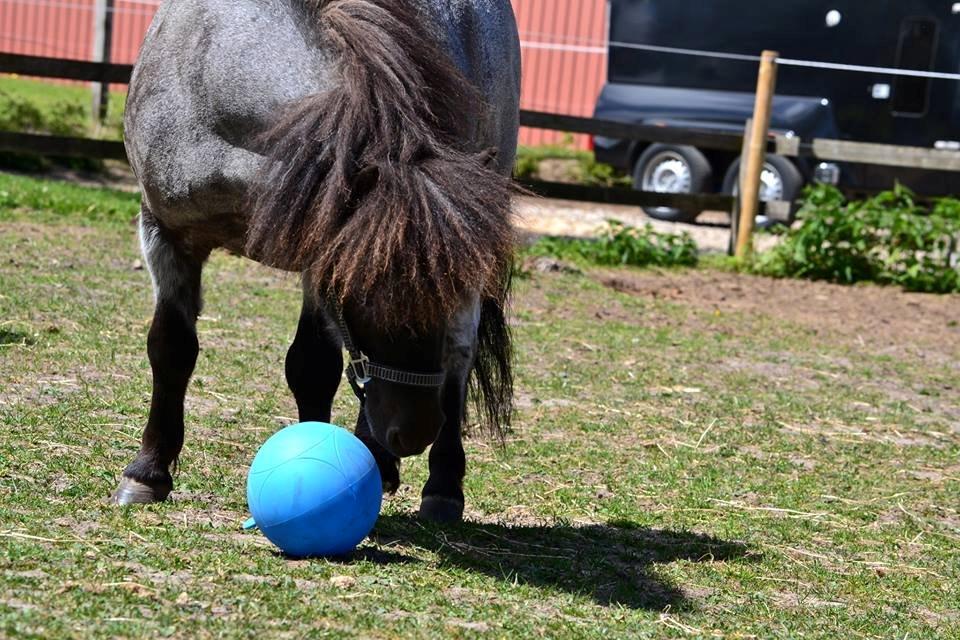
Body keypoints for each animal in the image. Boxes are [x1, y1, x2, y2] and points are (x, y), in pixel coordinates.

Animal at [115, 0, 520, 524]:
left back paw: (441, 486)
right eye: (361, 288)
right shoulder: (165, 232)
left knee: (458, 356)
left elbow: (312, 365)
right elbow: (171, 348)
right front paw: (147, 472)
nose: (415, 430)